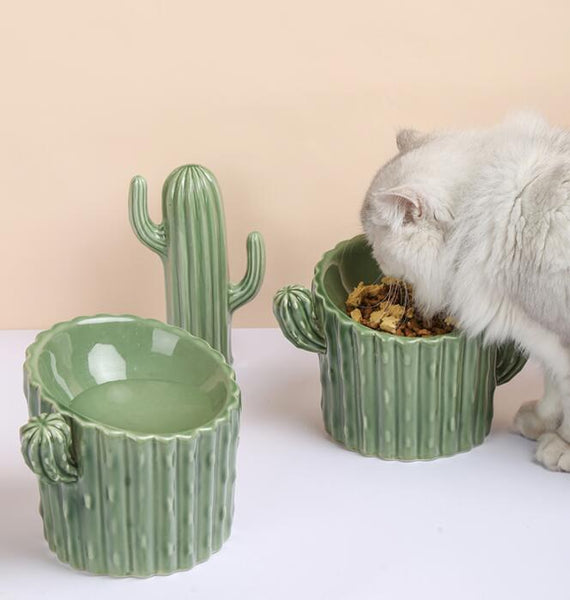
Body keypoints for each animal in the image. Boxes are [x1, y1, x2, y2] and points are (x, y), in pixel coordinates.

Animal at [362, 110, 568, 472]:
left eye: (374, 244)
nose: (377, 263)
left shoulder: (558, 334)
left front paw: (560, 448)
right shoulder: (541, 335)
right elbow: (553, 391)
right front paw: (538, 424)